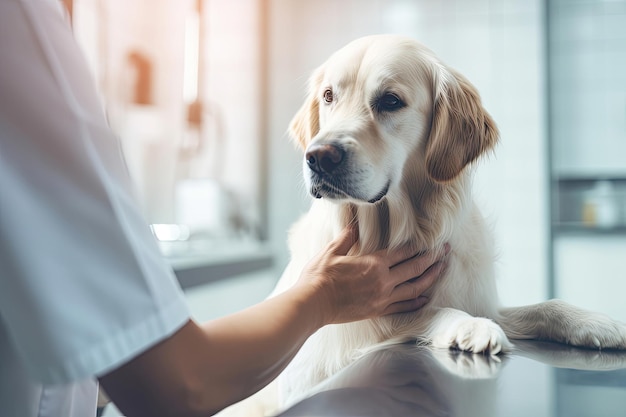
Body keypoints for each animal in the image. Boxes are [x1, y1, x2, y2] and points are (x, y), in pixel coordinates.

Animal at [216, 34, 624, 414]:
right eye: (329, 96)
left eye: (390, 101)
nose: (318, 157)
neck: (397, 232)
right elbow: (422, 313)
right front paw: (470, 326)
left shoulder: (484, 300)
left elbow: (545, 305)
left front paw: (599, 323)